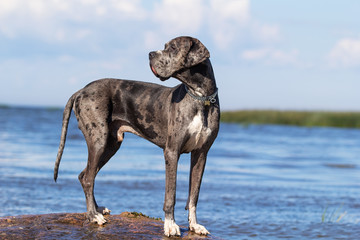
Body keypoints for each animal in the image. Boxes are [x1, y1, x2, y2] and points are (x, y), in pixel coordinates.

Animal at [54, 36, 219, 236]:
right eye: (165, 46)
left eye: (173, 47)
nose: (150, 54)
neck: (200, 98)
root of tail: (81, 90)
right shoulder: (172, 152)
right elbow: (170, 194)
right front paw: (170, 225)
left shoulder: (201, 154)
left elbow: (194, 195)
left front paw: (195, 225)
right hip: (98, 140)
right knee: (87, 178)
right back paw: (93, 216)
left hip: (110, 145)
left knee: (84, 175)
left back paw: (97, 209)